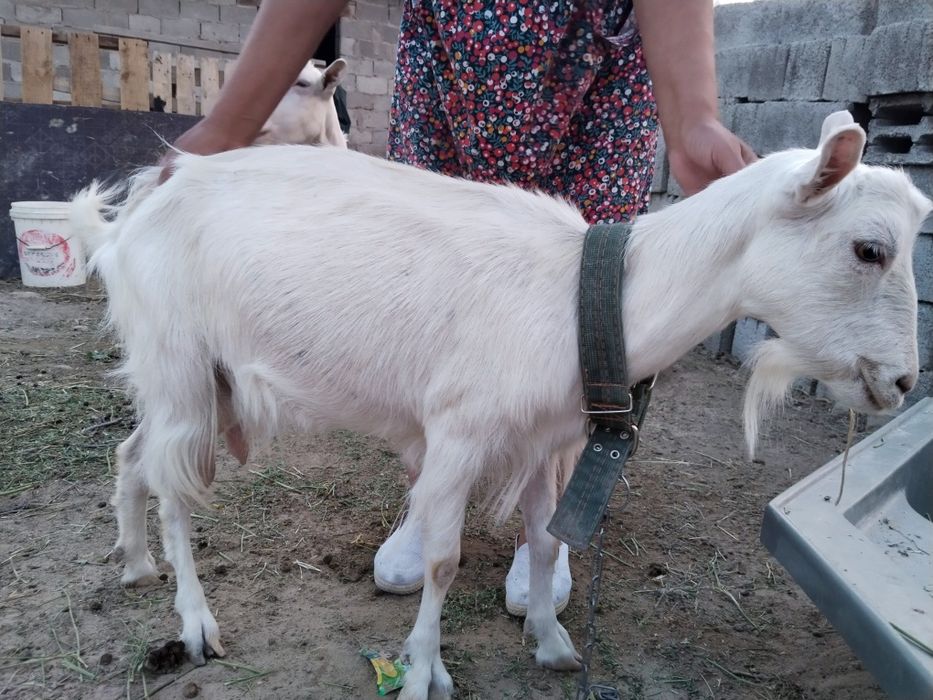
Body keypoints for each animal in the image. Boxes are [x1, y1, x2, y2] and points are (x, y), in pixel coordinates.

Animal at [70, 111, 930, 700]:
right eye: (869, 249)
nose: (900, 384)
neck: (584, 297)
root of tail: (133, 216)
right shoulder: (457, 432)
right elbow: (444, 560)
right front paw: (424, 672)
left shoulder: (543, 441)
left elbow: (545, 543)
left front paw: (551, 643)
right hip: (180, 365)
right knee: (177, 488)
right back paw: (193, 623)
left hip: (185, 379)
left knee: (133, 455)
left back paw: (135, 563)